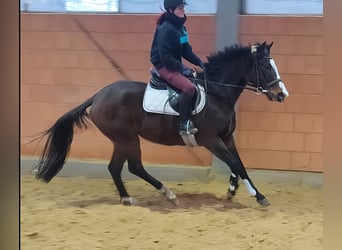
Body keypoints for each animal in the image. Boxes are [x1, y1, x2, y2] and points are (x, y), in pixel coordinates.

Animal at [34, 42, 288, 207]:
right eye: (266, 67)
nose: (281, 94)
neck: (218, 93)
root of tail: (98, 96)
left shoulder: (227, 137)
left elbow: (238, 163)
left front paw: (234, 189)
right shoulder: (210, 140)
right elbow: (234, 162)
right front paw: (257, 195)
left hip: (121, 139)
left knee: (116, 167)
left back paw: (127, 197)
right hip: (127, 137)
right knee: (134, 166)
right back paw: (167, 194)